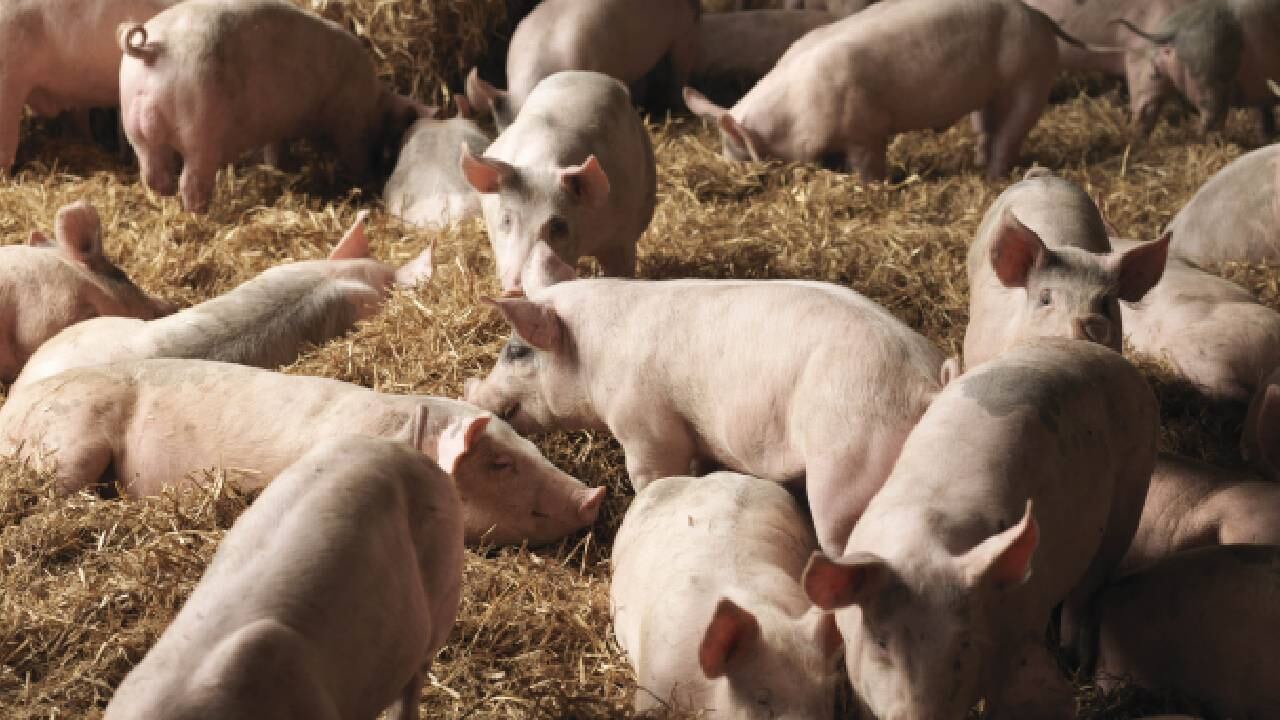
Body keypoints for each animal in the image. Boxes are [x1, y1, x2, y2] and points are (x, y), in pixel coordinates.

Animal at [117, 0, 429, 213]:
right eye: (390, 133)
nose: (383, 167)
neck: (374, 102)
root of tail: (152, 50)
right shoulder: (352, 126)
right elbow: (356, 157)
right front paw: (367, 185)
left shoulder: (280, 125)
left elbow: (276, 149)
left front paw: (285, 168)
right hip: (200, 129)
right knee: (192, 180)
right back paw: (202, 213)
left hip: (135, 127)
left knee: (152, 172)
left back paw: (168, 197)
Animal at [463, 277, 944, 555]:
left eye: (516, 350)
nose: (473, 394)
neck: (593, 359)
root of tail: (927, 384)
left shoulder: (646, 426)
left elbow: (653, 476)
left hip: (848, 465)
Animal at [803, 337, 1158, 719]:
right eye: (881, 642)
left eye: (963, 642)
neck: (922, 542)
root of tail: (1102, 354)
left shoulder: (1021, 632)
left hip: (1134, 486)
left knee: (1090, 584)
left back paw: (1072, 657)